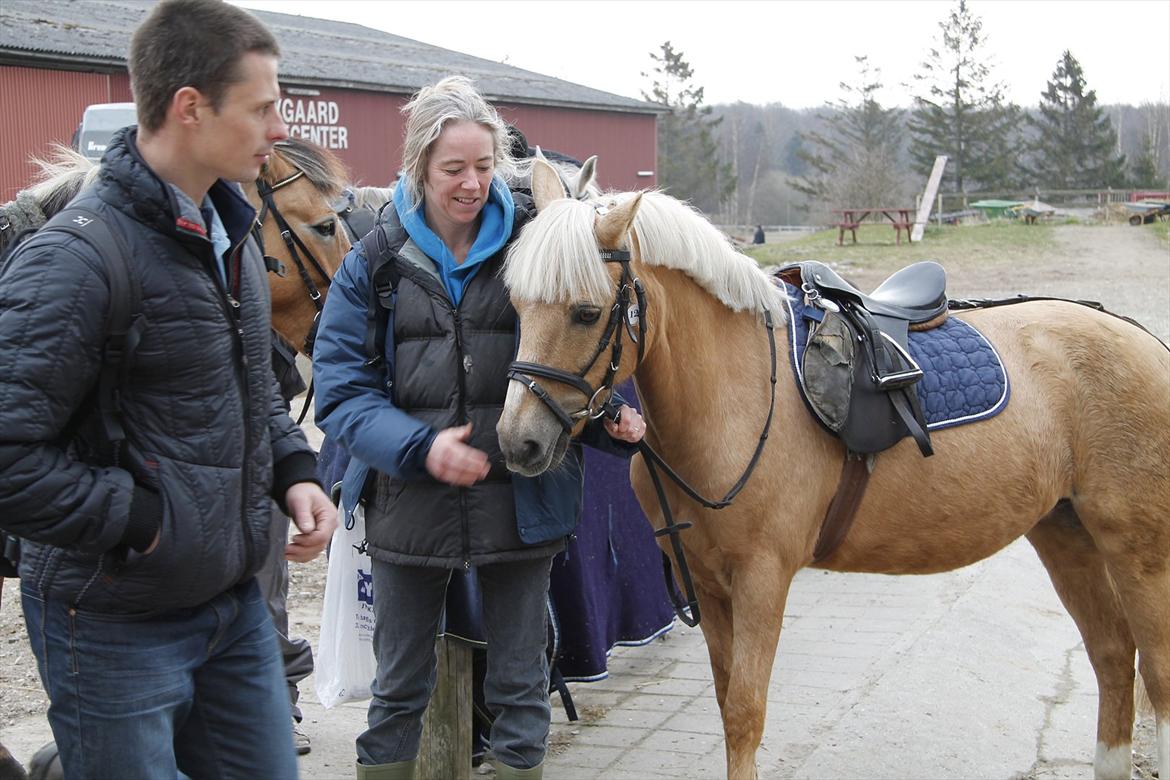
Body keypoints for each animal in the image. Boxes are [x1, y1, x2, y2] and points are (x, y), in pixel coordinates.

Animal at [496, 157, 1170, 780]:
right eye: (517, 306)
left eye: (586, 313)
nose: (517, 441)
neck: (739, 395)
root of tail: (1142, 340)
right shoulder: (708, 585)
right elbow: (725, 703)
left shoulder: (763, 578)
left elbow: (745, 712)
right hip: (1064, 531)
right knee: (1114, 655)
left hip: (1137, 548)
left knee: (1156, 672)